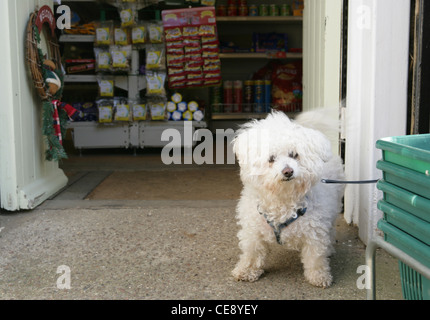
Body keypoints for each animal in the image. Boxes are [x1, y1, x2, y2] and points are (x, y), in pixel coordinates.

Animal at [230, 110, 344, 288]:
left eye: (294, 155)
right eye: (271, 158)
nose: (288, 171)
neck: (283, 198)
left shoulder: (315, 233)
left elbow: (315, 258)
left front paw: (319, 276)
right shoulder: (253, 231)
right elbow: (252, 253)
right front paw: (246, 271)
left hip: (333, 210)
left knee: (330, 231)